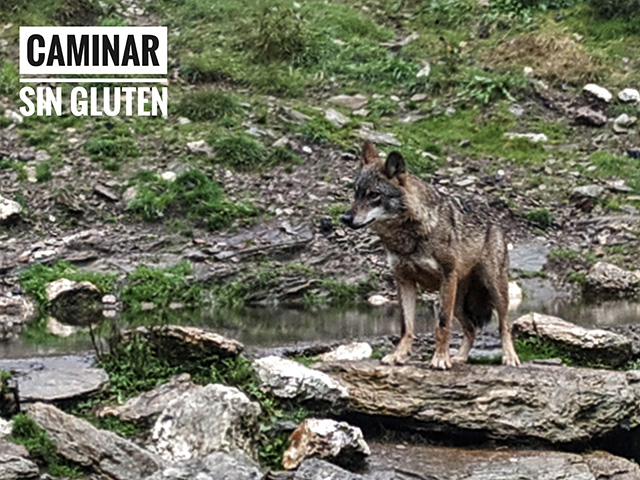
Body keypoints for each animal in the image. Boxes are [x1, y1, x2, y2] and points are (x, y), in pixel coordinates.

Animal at [342, 141, 516, 370]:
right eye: (356, 193)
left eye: (374, 195)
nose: (345, 218)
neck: (409, 235)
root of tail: (494, 217)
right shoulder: (404, 281)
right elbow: (406, 326)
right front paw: (398, 356)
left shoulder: (446, 276)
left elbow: (441, 325)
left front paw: (440, 359)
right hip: (457, 302)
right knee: (471, 329)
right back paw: (459, 358)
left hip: (492, 289)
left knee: (504, 326)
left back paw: (509, 358)